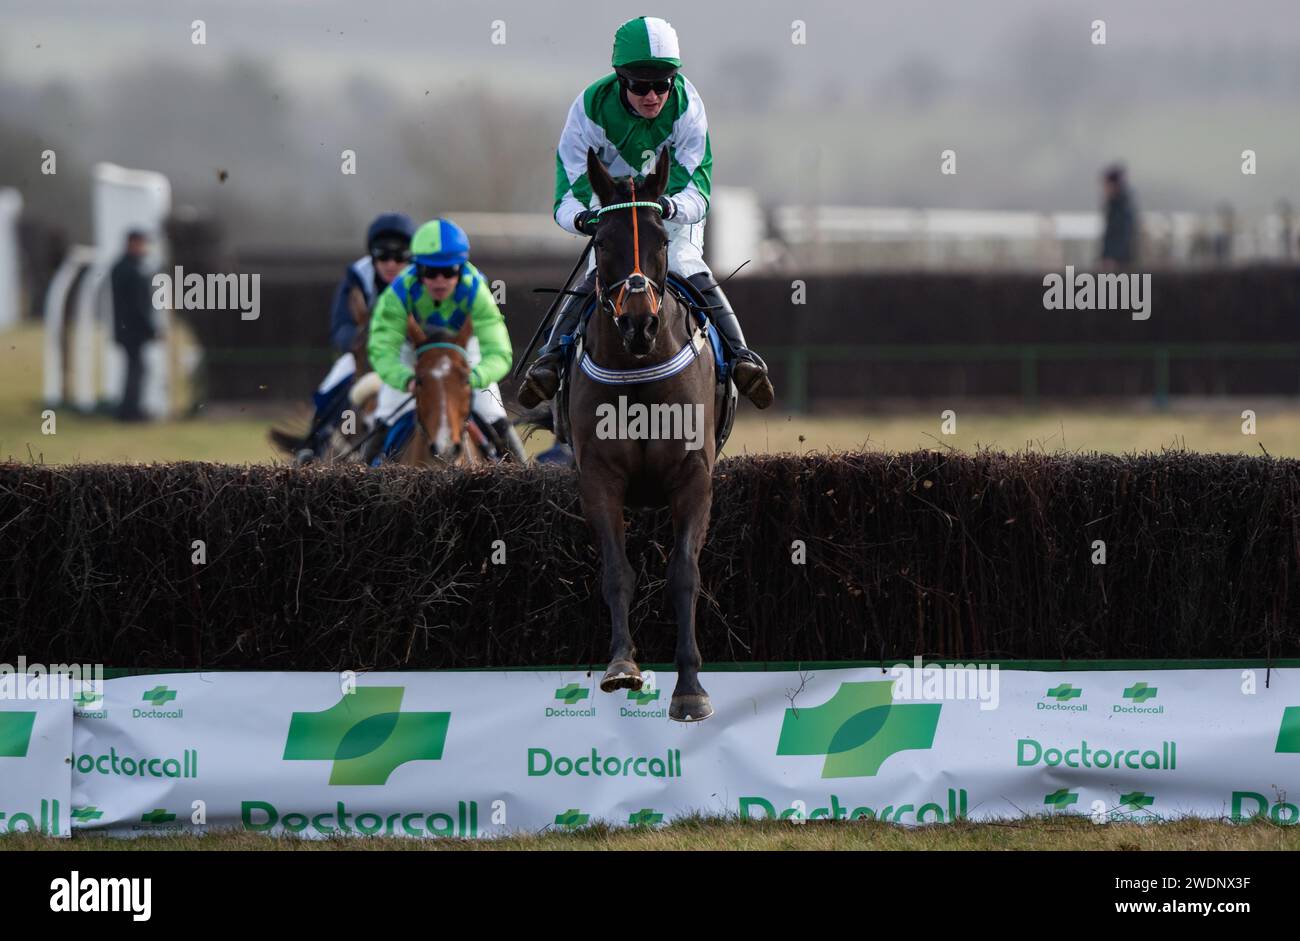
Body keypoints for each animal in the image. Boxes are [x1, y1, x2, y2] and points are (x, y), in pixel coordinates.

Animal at [574, 148, 722, 722]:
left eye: (660, 238)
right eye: (601, 241)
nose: (638, 325)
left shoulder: (693, 476)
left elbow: (684, 574)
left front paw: (690, 687)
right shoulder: (599, 477)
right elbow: (617, 572)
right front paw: (621, 664)